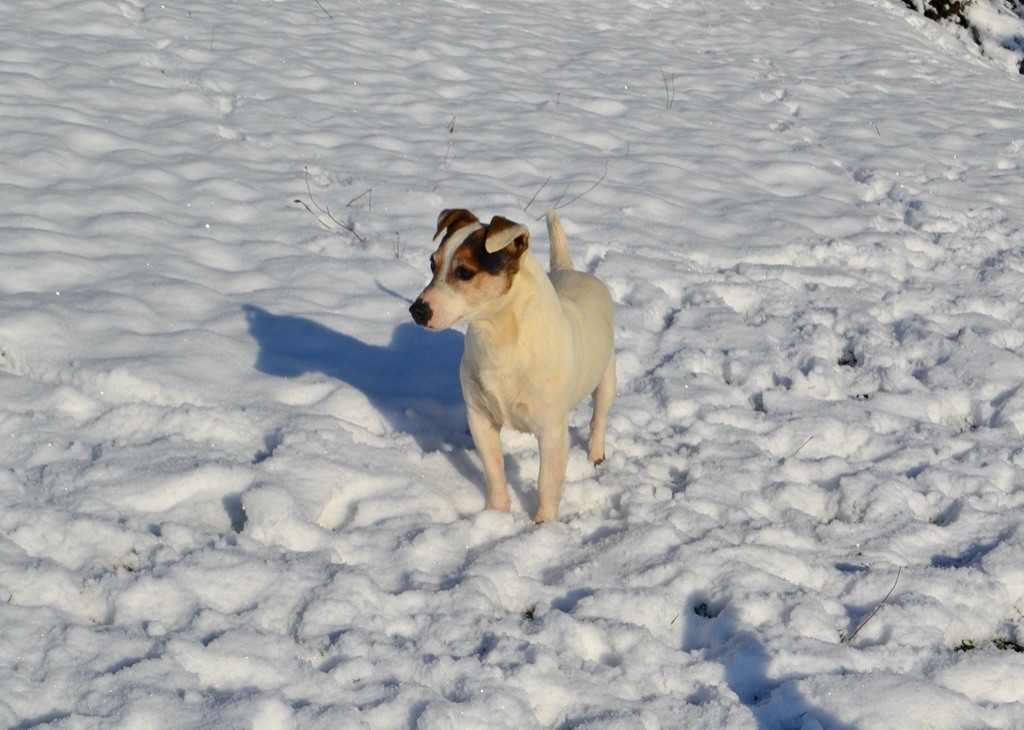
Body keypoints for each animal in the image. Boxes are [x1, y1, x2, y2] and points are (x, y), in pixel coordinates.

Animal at [407, 207, 614, 520]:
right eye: (433, 264)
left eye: (464, 271)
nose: (417, 310)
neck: (500, 340)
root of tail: (568, 270)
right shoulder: (480, 418)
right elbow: (494, 470)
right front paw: (496, 513)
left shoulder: (552, 430)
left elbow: (548, 480)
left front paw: (544, 523)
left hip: (607, 376)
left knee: (598, 417)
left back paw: (595, 454)